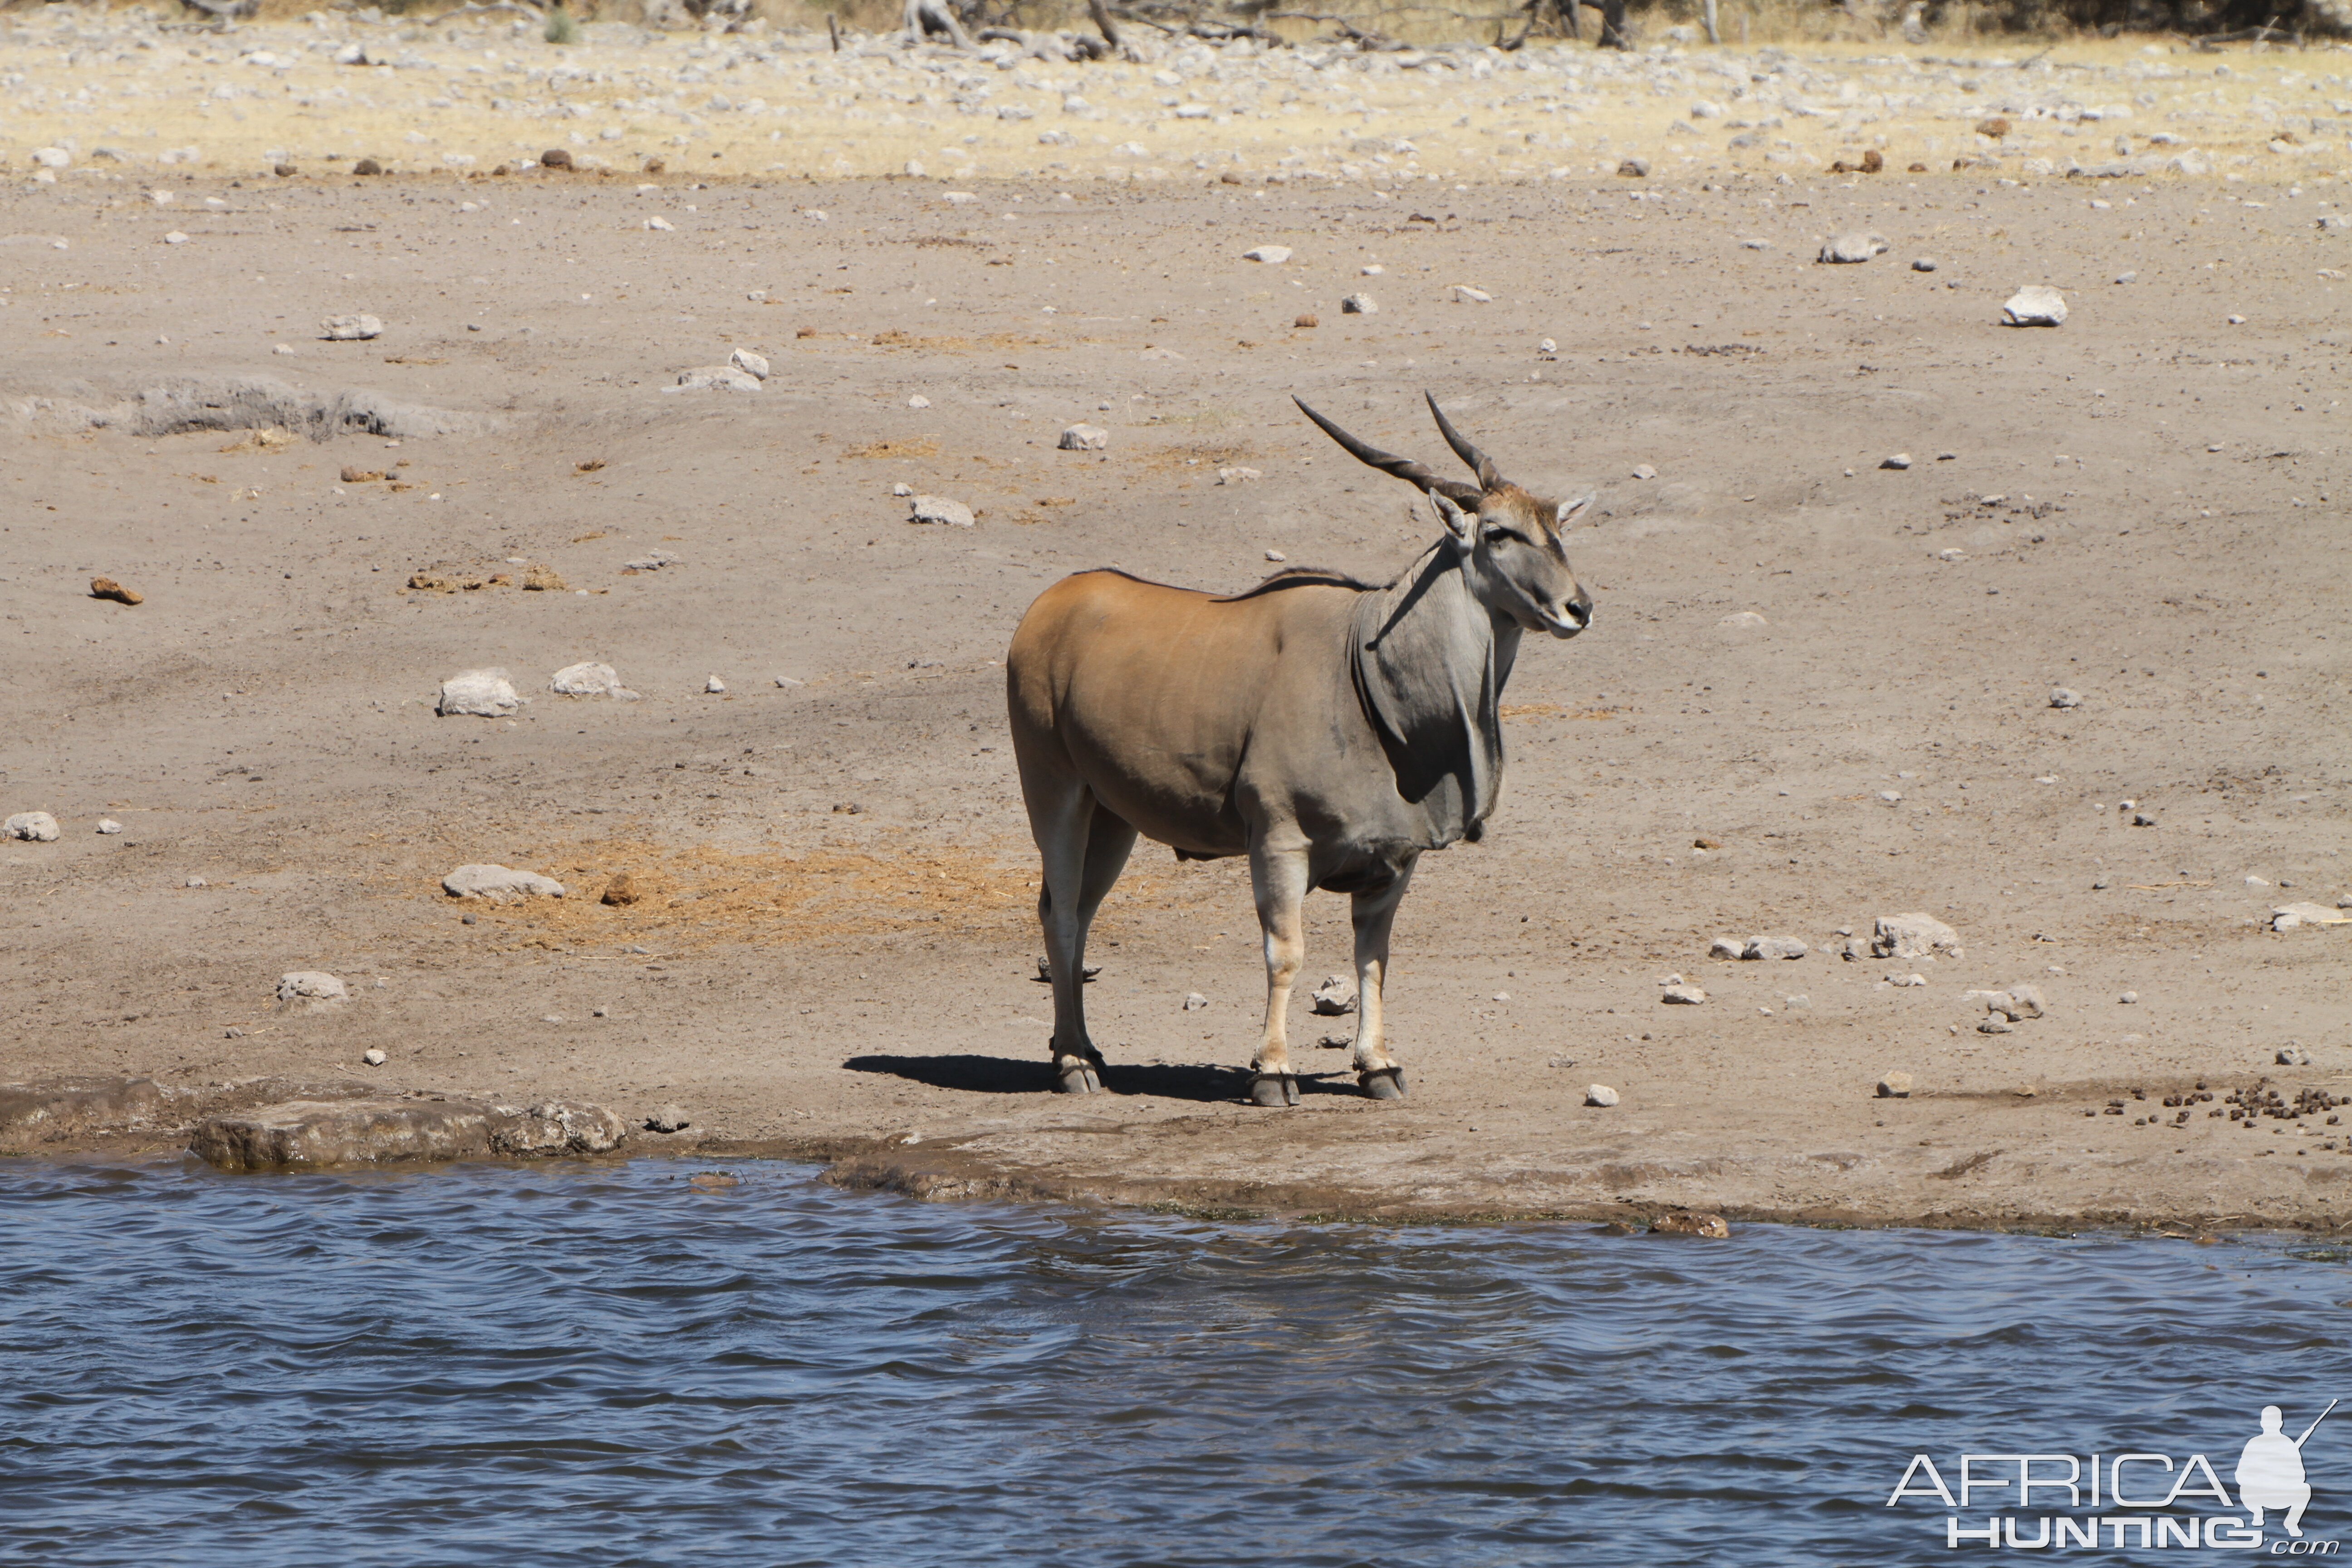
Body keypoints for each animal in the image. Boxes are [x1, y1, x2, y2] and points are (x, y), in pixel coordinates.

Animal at [1002, 399, 1590, 1109]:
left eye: (1557, 529)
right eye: (1500, 533)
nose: (1578, 608)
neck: (1367, 667)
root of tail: (1048, 607)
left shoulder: (1394, 863)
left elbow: (1373, 959)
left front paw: (1379, 1066)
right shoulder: (1279, 843)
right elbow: (1286, 954)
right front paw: (1273, 1072)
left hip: (1112, 818)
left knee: (1083, 914)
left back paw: (1087, 1050)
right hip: (1055, 794)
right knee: (1060, 914)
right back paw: (1072, 1065)